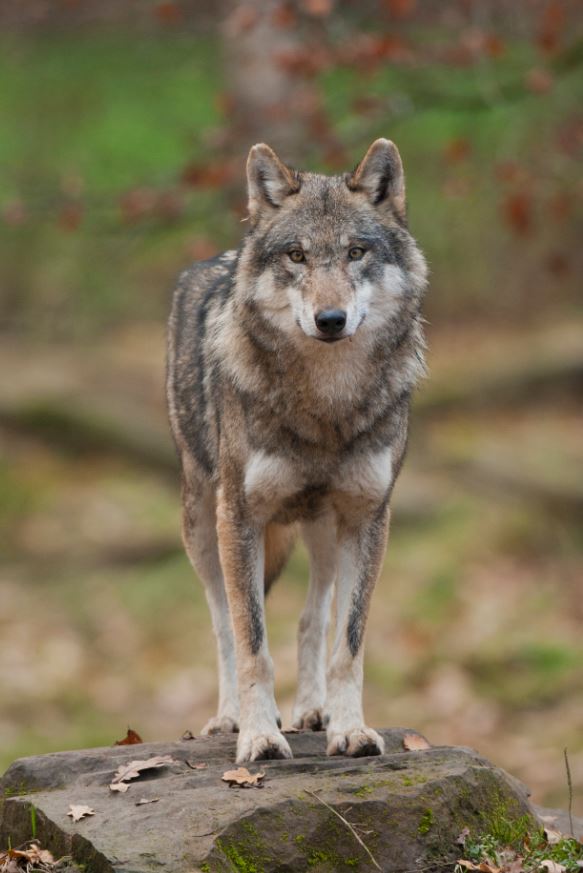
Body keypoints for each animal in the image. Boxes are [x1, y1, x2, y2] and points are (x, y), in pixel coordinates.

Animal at [167, 138, 426, 764]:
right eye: (297, 256)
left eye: (356, 252)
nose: (330, 319)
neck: (325, 404)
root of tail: (217, 256)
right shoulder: (239, 517)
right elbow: (252, 642)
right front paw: (259, 735)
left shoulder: (368, 517)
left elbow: (347, 643)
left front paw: (349, 730)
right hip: (201, 525)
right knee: (222, 622)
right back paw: (228, 718)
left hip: (323, 528)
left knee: (314, 616)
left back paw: (313, 710)